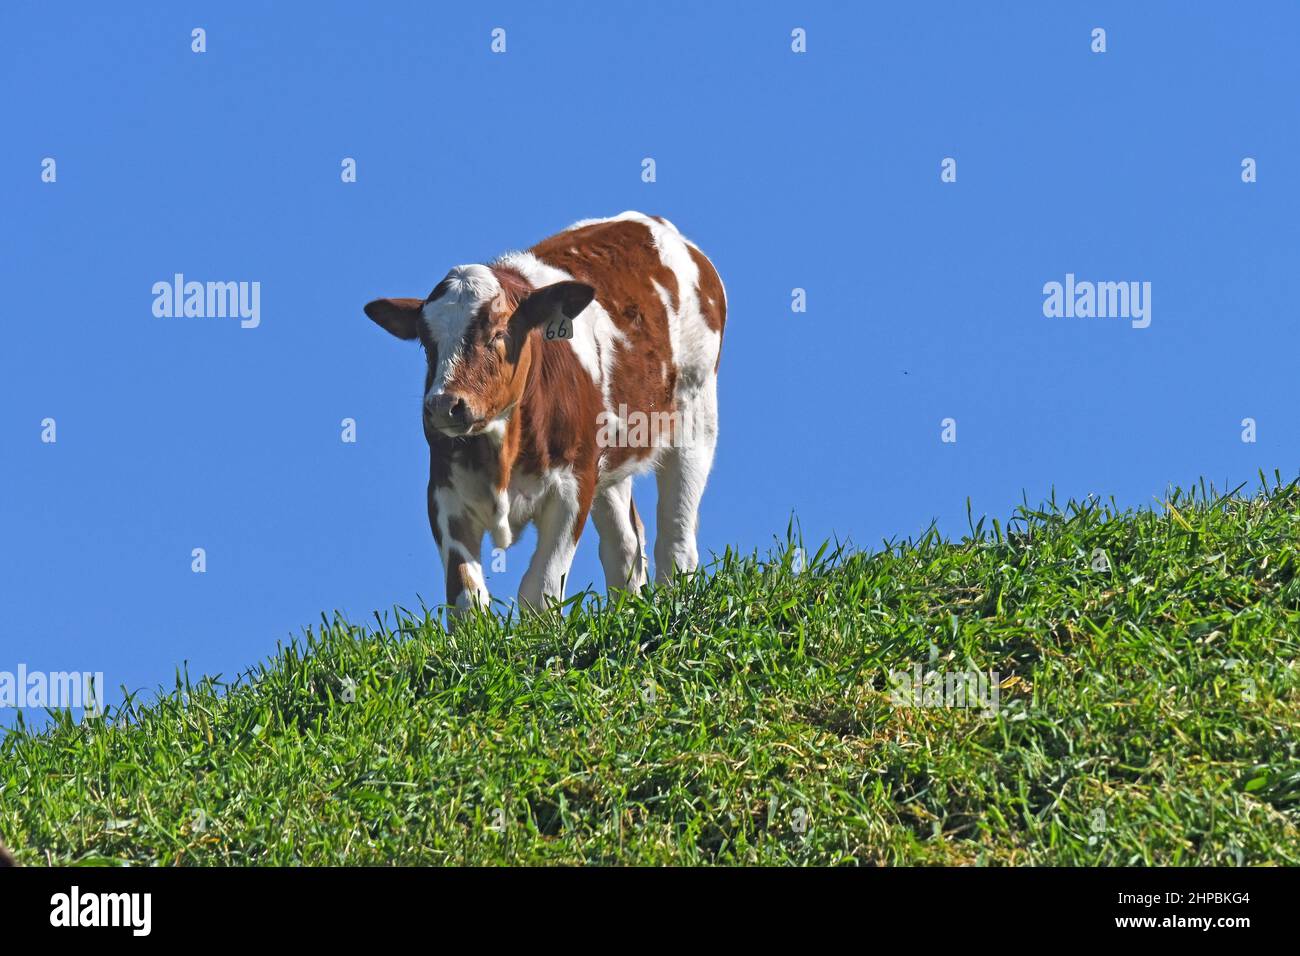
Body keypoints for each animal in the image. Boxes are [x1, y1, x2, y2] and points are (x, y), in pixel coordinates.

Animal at [364, 211, 726, 622]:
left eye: (499, 332)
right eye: (427, 343)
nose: (443, 405)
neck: (503, 453)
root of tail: (648, 220)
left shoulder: (573, 483)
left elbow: (538, 591)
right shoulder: (444, 491)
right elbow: (468, 600)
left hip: (696, 417)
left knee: (676, 536)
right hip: (611, 460)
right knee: (624, 545)